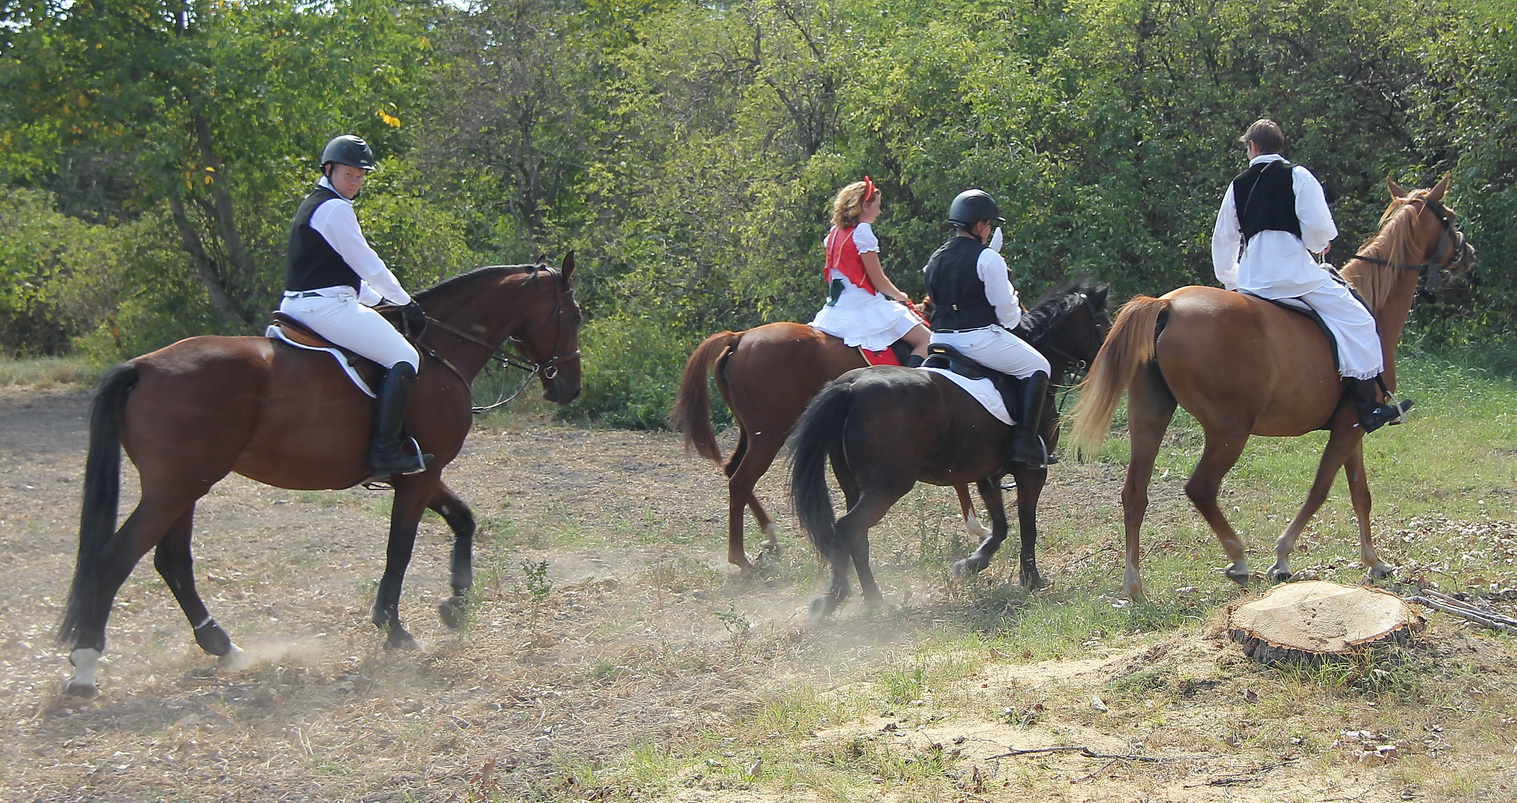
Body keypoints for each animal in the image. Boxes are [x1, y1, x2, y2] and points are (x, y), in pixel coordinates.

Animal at [57, 256, 583, 697]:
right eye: (574, 315)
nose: (569, 388)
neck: (439, 351)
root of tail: (142, 367)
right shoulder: (420, 476)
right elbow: (401, 547)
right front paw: (395, 630)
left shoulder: (419, 472)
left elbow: (464, 520)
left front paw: (456, 604)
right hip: (175, 488)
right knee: (116, 558)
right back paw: (85, 666)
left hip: (184, 489)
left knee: (172, 562)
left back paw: (224, 647)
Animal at [788, 279, 1110, 618]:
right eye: (1101, 322)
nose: (1105, 360)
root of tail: (850, 387)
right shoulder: (1031, 472)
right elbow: (1026, 524)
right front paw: (1031, 579)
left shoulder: (987, 474)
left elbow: (1000, 526)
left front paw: (971, 564)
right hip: (886, 487)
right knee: (848, 528)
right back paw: (860, 598)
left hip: (852, 485)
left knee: (852, 536)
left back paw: (847, 597)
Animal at [1067, 175, 1473, 599]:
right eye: (1449, 217)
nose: (1468, 254)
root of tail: (1166, 306)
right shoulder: (1349, 428)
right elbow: (1320, 490)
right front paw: (1282, 558)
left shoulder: (1354, 427)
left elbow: (1360, 493)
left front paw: (1374, 562)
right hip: (1229, 431)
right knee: (1201, 488)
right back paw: (1238, 558)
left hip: (1150, 414)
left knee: (1135, 492)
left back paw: (1134, 585)